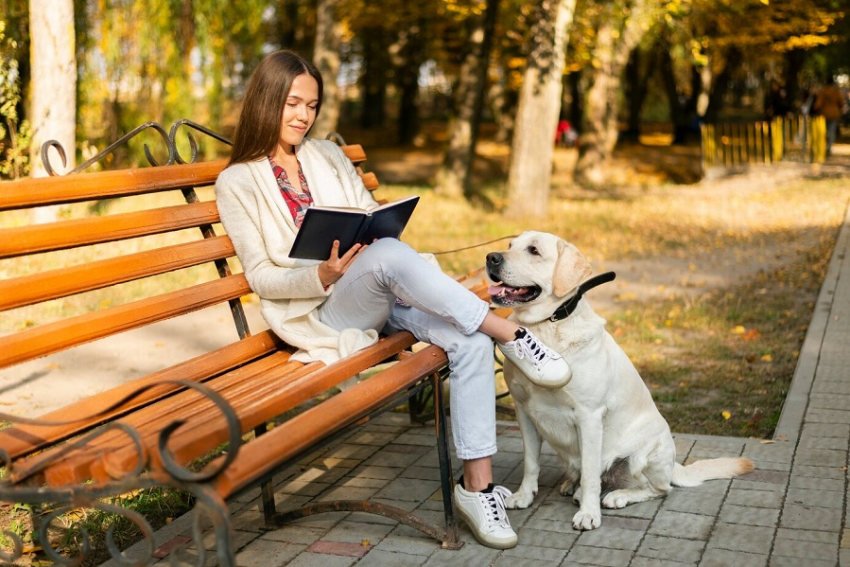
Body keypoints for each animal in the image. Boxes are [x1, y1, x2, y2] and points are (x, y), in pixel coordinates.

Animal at [486, 232, 752, 532]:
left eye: (534, 250)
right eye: (510, 246)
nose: (491, 257)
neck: (547, 329)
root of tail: (674, 465)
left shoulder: (589, 417)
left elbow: (591, 475)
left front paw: (589, 514)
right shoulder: (523, 410)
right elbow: (531, 461)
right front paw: (524, 496)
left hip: (643, 455)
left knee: (658, 489)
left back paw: (617, 496)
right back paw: (571, 486)